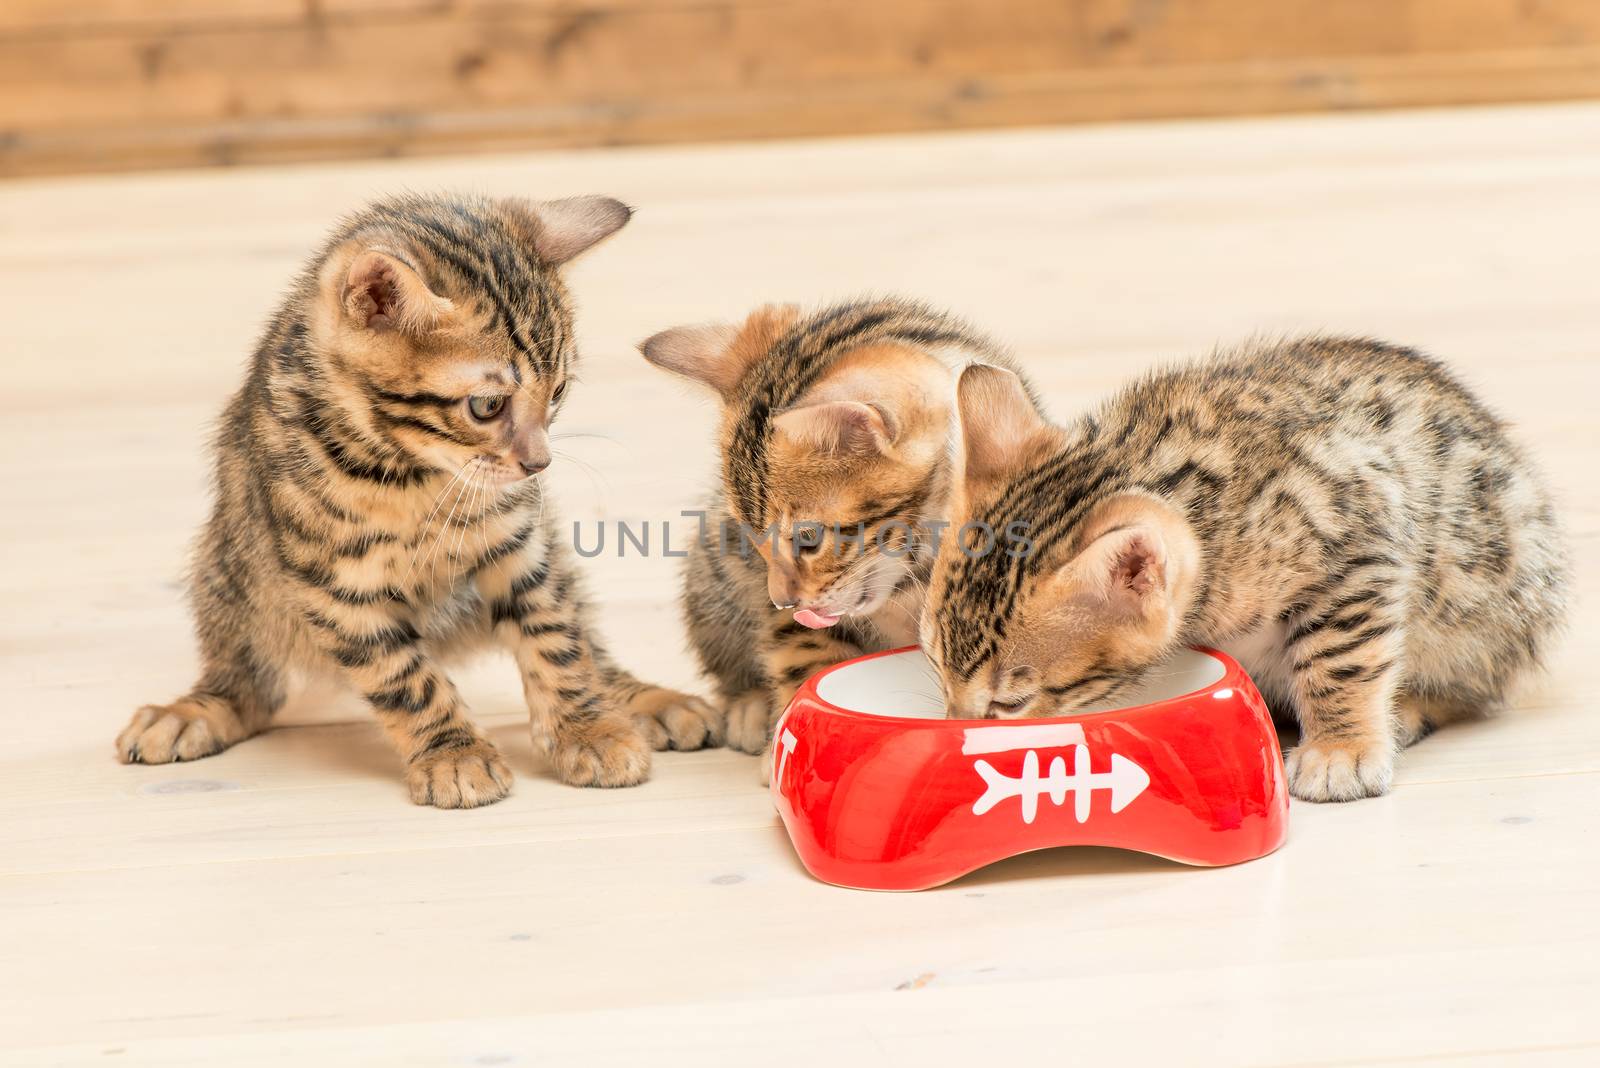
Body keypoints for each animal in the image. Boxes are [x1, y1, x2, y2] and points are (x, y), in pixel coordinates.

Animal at [112, 194, 713, 808]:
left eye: (559, 392)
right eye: (488, 405)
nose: (538, 464)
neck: (414, 477)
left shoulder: (522, 545)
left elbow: (557, 639)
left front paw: (588, 730)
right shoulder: (337, 585)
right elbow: (404, 678)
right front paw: (454, 754)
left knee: (587, 637)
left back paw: (645, 701)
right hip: (232, 572)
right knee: (248, 678)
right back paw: (196, 710)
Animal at [643, 298, 1043, 767]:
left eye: (808, 540)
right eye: (755, 540)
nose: (782, 599)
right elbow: (804, 656)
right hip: (713, 569)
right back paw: (751, 706)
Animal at [921, 335, 1568, 799]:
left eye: (1010, 705)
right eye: (935, 667)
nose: (954, 734)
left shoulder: (1357, 536)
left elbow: (1339, 657)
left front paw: (1340, 750)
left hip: (1483, 601)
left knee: (1475, 683)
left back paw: (1407, 709)